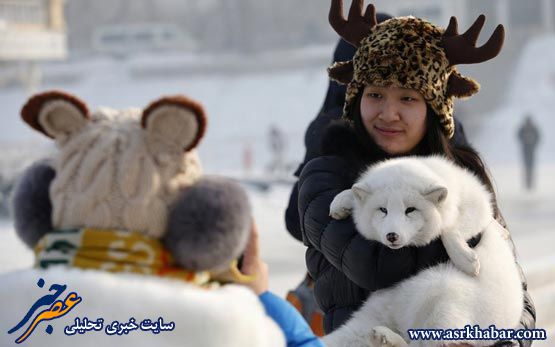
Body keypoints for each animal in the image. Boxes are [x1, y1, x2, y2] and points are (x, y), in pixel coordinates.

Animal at [324, 157, 524, 347]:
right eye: (383, 210)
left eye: (410, 210)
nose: (392, 236)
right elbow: (351, 190)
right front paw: (339, 202)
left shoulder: (479, 204)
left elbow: (449, 228)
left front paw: (466, 260)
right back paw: (383, 337)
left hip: (442, 303)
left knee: (417, 344)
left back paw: (385, 338)